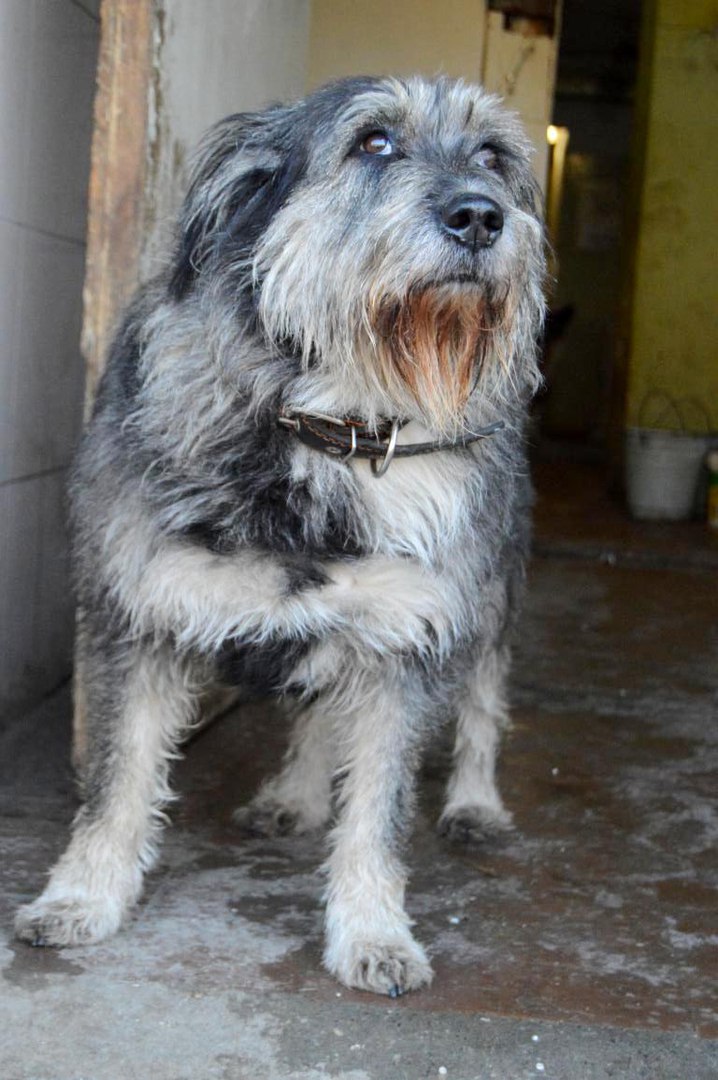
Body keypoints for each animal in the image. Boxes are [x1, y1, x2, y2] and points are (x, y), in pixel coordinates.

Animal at [15, 76, 545, 996]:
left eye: (495, 156)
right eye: (373, 143)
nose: (483, 215)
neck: (329, 433)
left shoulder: (409, 637)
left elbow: (378, 809)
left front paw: (373, 931)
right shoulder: (136, 620)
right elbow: (116, 783)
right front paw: (83, 897)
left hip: (490, 599)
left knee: (481, 701)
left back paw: (476, 803)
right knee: (317, 708)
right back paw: (293, 795)